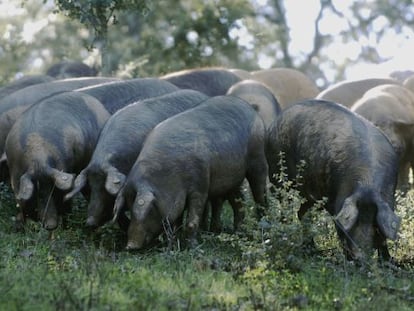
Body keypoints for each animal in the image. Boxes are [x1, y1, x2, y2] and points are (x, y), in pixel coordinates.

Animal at [6, 91, 110, 230]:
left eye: (53, 190)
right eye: (37, 192)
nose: (50, 225)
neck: (38, 159)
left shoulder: (64, 167)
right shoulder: (15, 177)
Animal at [113, 95, 268, 251]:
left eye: (147, 210)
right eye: (129, 207)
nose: (130, 246)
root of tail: (250, 108)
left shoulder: (200, 184)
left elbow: (192, 221)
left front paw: (194, 248)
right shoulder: (177, 197)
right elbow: (175, 223)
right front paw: (172, 247)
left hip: (258, 157)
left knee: (260, 194)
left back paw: (263, 226)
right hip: (232, 179)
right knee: (239, 201)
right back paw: (237, 232)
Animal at [266, 100, 402, 260]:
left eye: (374, 225)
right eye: (355, 222)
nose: (360, 256)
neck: (367, 184)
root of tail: (275, 121)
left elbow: (383, 240)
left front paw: (388, 261)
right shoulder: (336, 202)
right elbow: (340, 230)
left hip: (311, 194)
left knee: (302, 213)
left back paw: (311, 250)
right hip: (276, 174)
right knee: (284, 205)